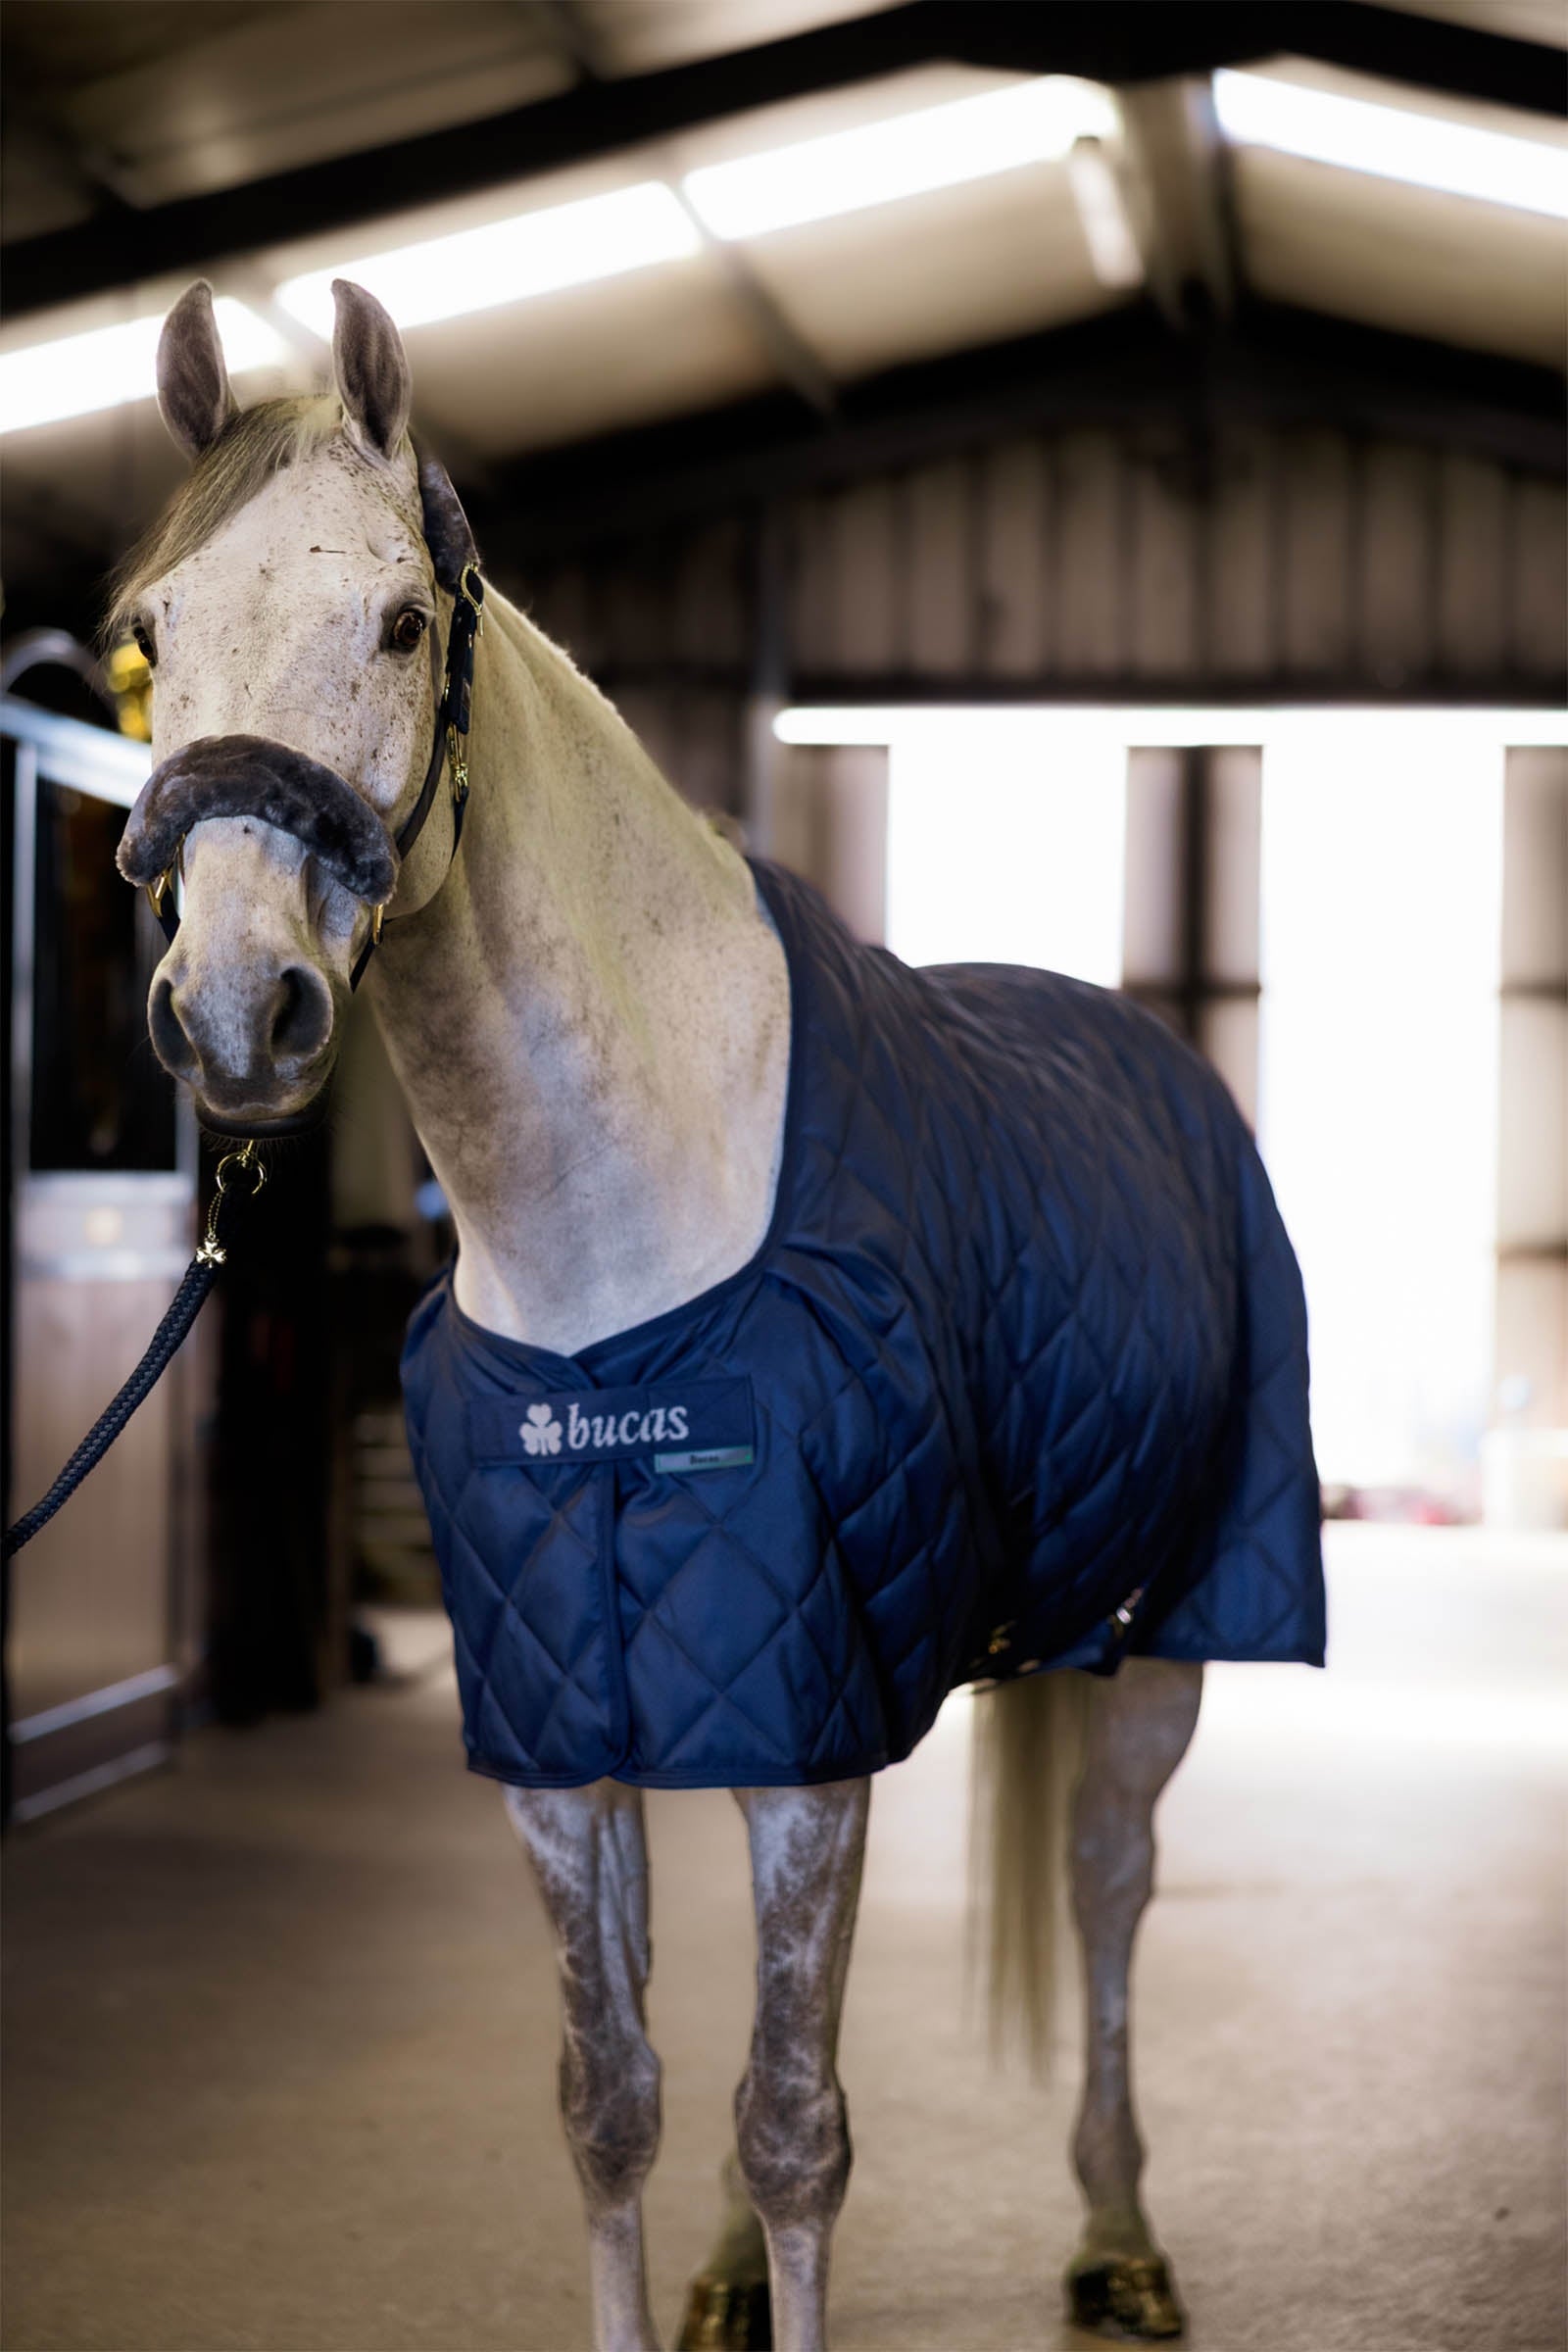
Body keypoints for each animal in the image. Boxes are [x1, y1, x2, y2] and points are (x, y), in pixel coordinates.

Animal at [107, 277, 1324, 2352]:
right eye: (154, 630)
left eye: (403, 620)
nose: (238, 1013)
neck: (613, 1261)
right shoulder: (586, 1727)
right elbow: (618, 2103)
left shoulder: (813, 1726)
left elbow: (793, 2125)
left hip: (1155, 1641)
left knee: (1106, 1894)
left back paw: (1119, 2238)